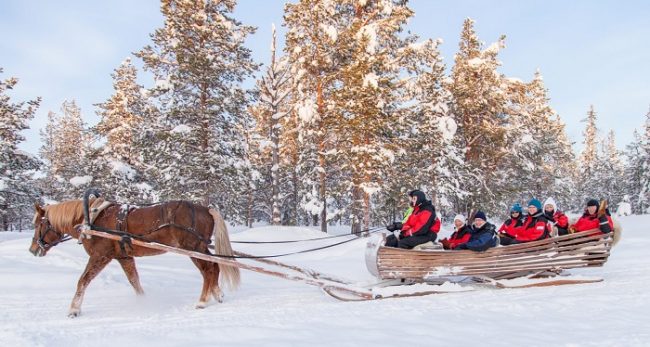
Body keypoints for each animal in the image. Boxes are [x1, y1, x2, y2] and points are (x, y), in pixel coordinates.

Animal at [29, 198, 239, 318]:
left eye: (39, 224)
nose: (33, 249)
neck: (92, 219)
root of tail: (207, 209)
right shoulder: (124, 257)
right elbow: (134, 281)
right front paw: (144, 303)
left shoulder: (100, 256)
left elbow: (83, 280)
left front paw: (74, 310)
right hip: (200, 247)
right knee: (215, 267)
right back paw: (217, 294)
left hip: (192, 248)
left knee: (208, 270)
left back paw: (203, 301)